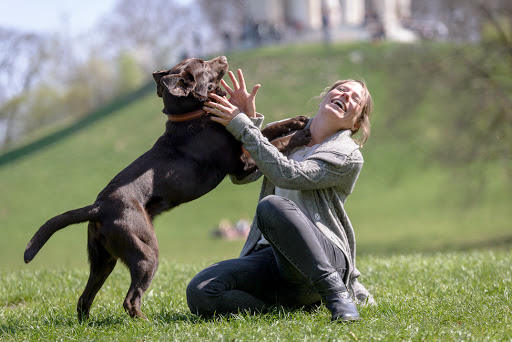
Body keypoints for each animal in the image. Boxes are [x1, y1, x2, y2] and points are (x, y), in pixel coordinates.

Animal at [23, 56, 308, 320]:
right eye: (203, 64)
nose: (223, 57)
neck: (194, 116)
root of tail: (97, 207)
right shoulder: (242, 165)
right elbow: (276, 142)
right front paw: (302, 134)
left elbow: (269, 129)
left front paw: (298, 120)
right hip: (145, 253)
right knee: (130, 299)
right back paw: (145, 323)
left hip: (103, 259)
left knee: (85, 298)